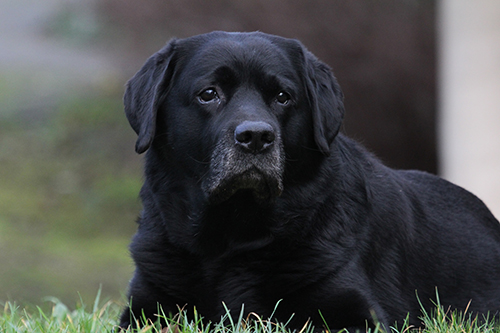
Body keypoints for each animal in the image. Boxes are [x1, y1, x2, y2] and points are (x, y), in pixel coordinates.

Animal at [118, 31, 500, 330]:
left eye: (283, 97)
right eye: (209, 93)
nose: (256, 137)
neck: (233, 235)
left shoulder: (354, 312)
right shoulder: (145, 309)